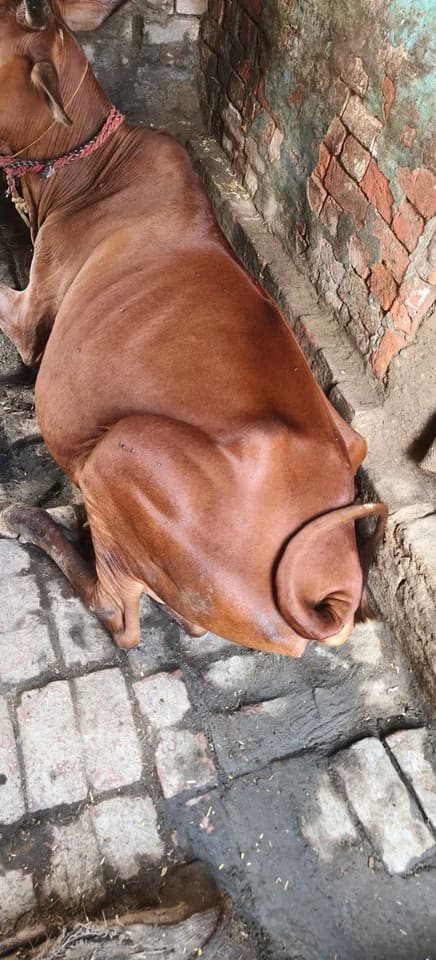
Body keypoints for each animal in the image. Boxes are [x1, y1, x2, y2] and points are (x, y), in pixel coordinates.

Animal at [0, 0, 387, 657]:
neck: (85, 168)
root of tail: (325, 586)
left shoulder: (32, 316)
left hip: (121, 452)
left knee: (120, 613)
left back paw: (30, 521)